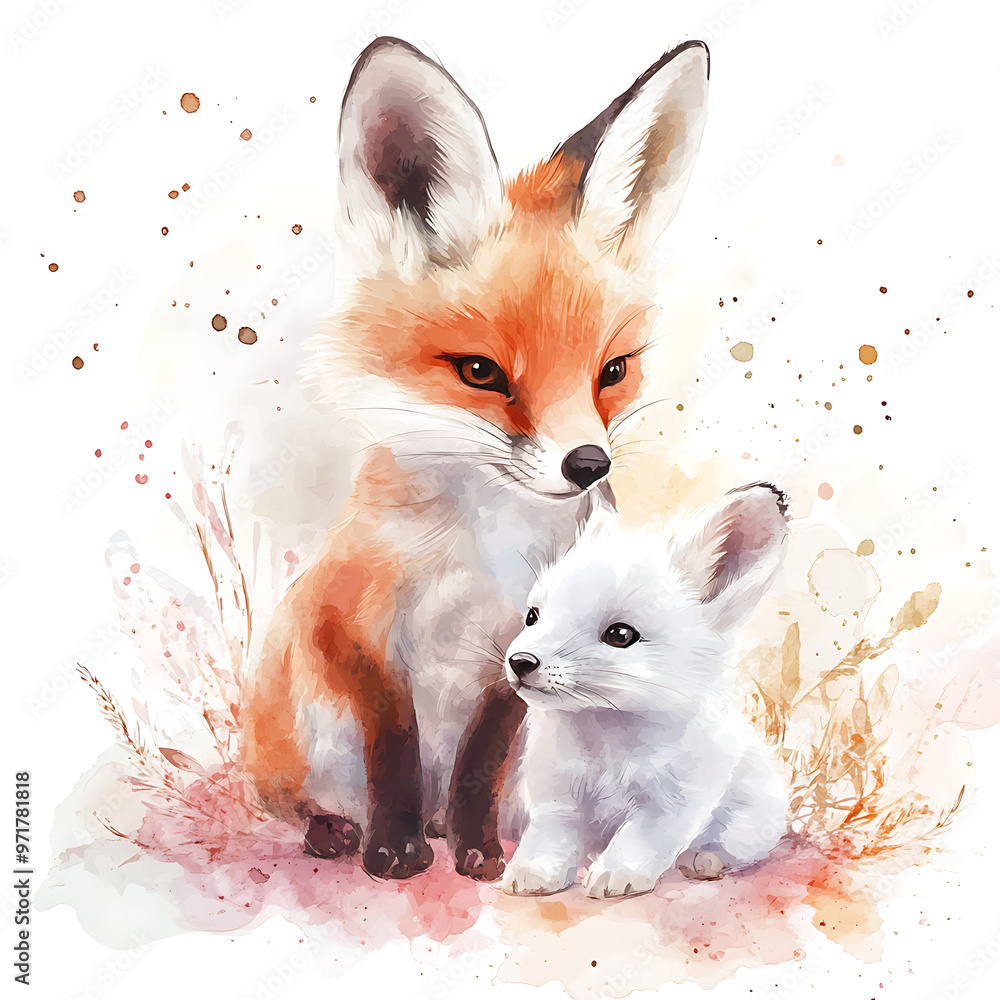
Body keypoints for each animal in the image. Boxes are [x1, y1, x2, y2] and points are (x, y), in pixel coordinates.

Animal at [243, 35, 711, 881]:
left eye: (612, 371)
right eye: (481, 372)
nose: (589, 464)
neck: (479, 553)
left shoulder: (516, 647)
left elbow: (482, 758)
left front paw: (476, 850)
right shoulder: (354, 625)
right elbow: (392, 743)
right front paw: (391, 852)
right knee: (302, 800)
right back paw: (338, 832)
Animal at [499, 483, 791, 898]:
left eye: (621, 635)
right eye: (532, 616)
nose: (520, 661)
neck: (606, 731)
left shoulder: (670, 804)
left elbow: (638, 840)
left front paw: (613, 878)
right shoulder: (558, 801)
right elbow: (549, 840)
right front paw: (529, 877)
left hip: (748, 820)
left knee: (733, 847)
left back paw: (703, 861)